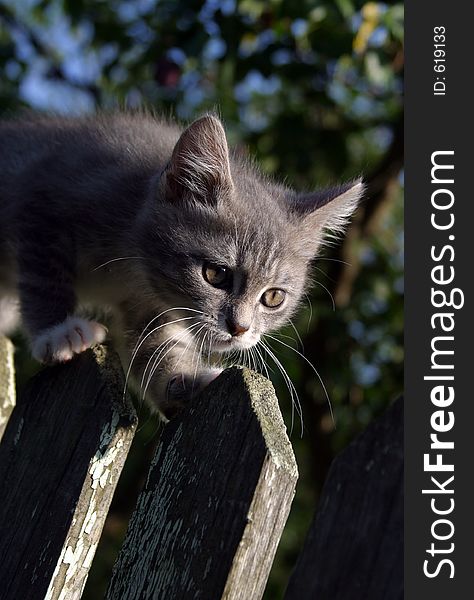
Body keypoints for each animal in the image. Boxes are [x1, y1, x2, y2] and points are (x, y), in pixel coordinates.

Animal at [0, 111, 362, 418]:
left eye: (273, 297)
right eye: (215, 274)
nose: (239, 328)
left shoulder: (150, 308)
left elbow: (157, 347)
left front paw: (186, 382)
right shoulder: (42, 198)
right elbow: (44, 278)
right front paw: (58, 332)